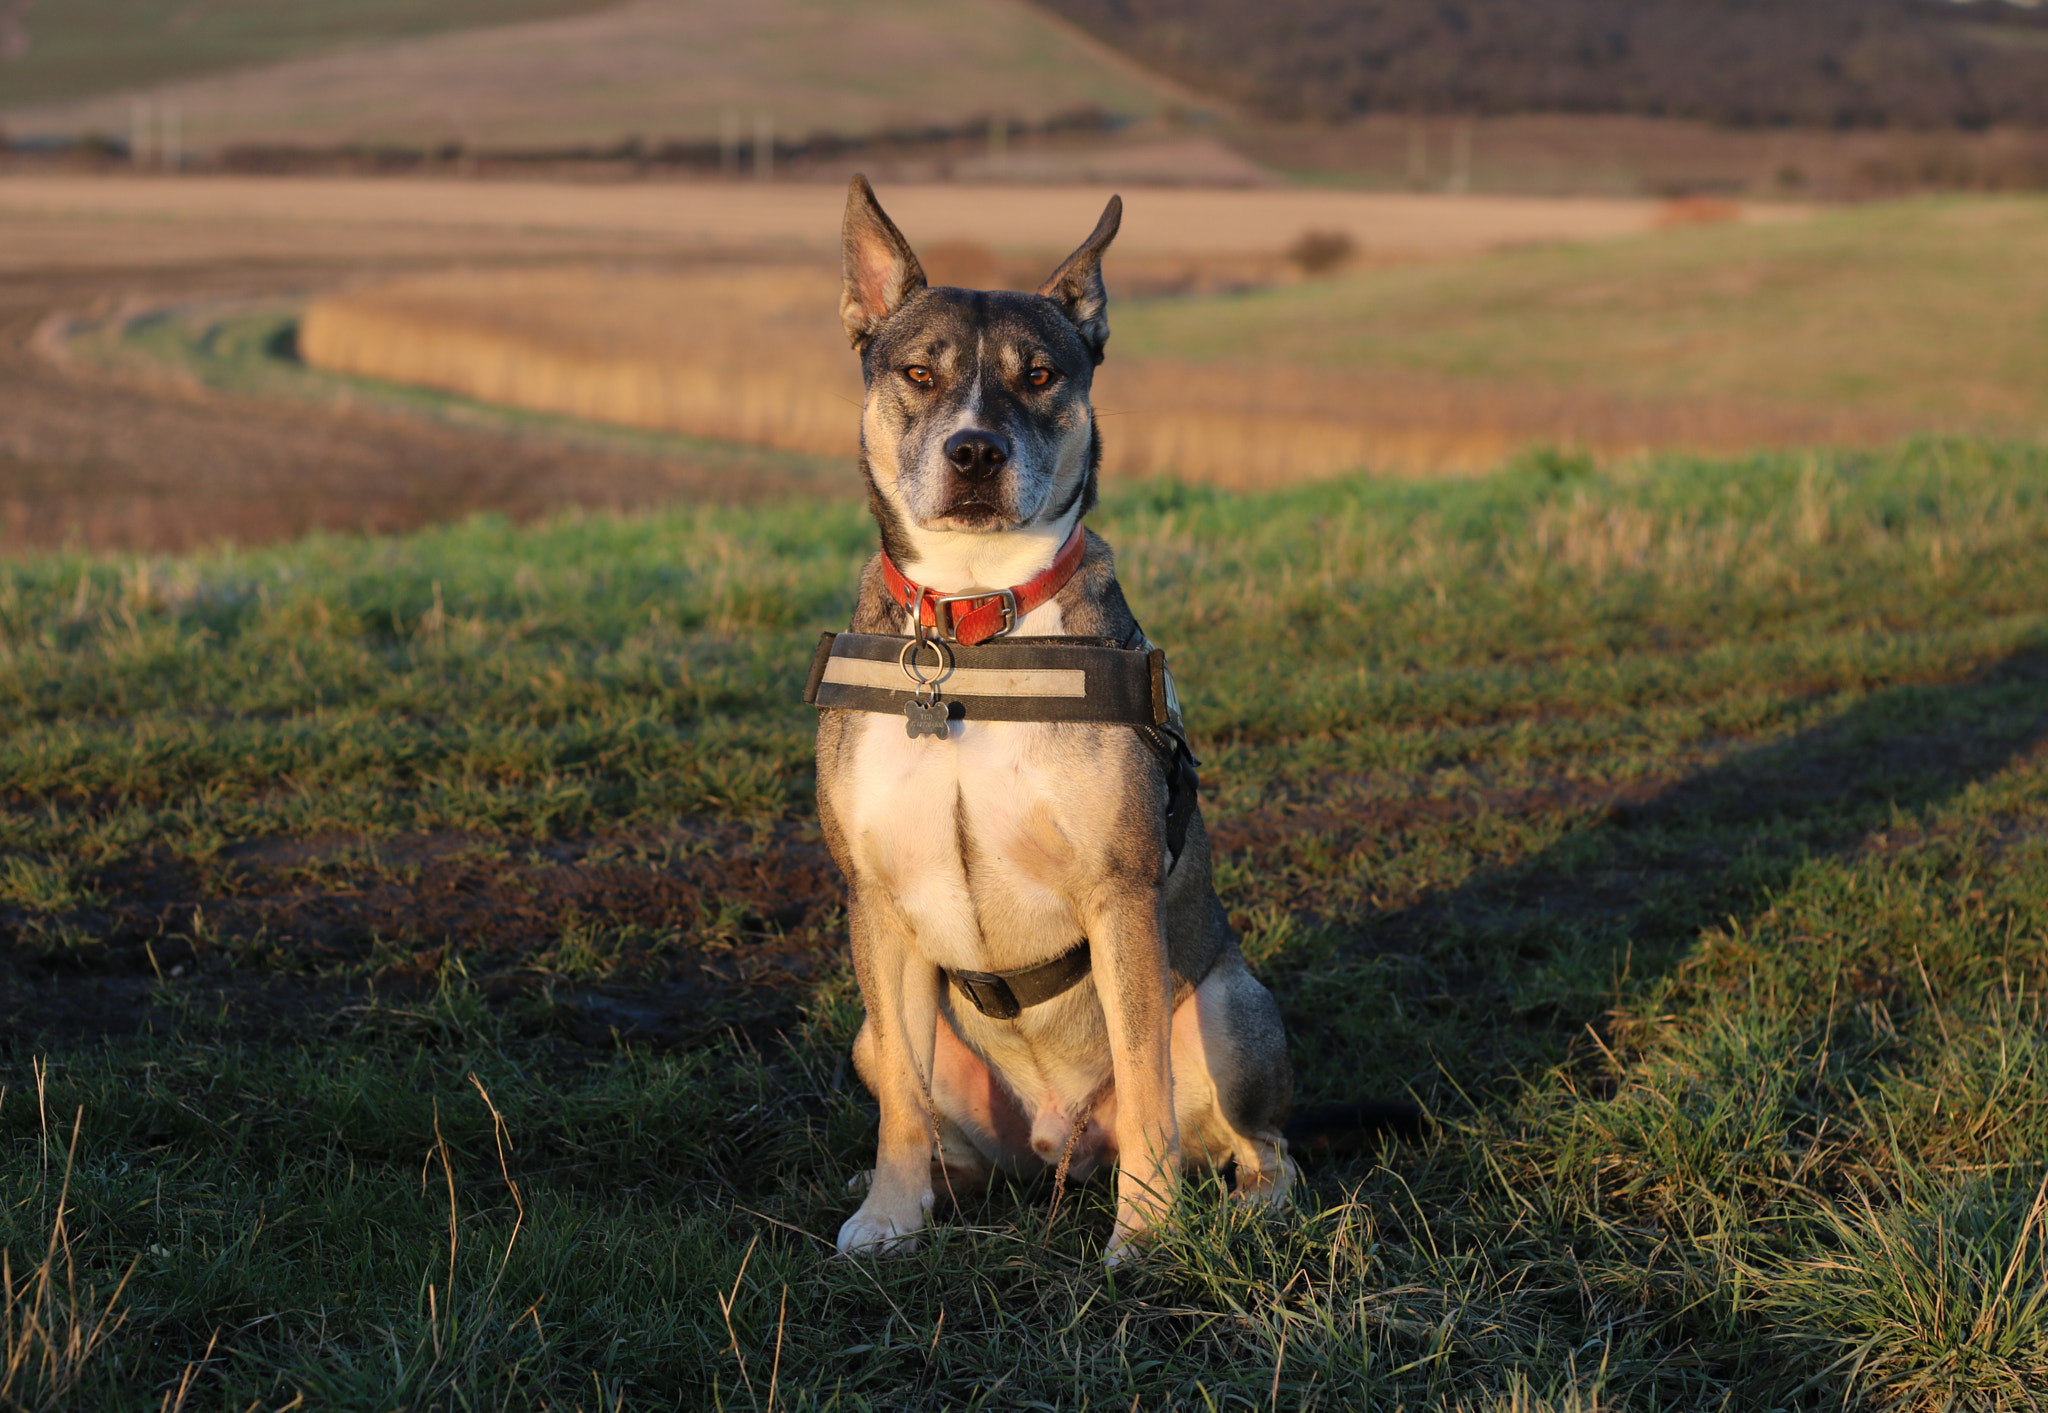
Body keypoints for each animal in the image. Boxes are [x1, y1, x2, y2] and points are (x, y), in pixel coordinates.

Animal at [811, 176, 1294, 1253]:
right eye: (918, 372)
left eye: (1038, 375)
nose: (974, 451)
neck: (969, 630)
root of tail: (1056, 1144)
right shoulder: (876, 903)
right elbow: (899, 1098)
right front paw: (886, 1214)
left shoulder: (1120, 896)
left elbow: (1149, 1085)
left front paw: (1146, 1235)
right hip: (874, 1037)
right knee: (921, 1100)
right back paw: (942, 1185)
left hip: (1232, 1004)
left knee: (1259, 1139)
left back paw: (1249, 1204)